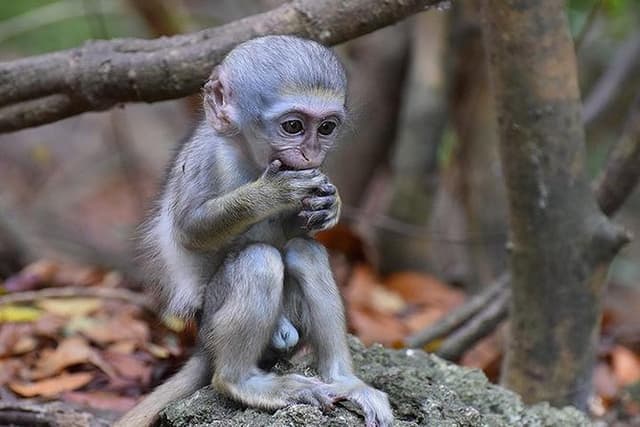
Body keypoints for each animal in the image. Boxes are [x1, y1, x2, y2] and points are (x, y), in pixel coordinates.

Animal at [116, 36, 393, 427]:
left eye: (326, 128)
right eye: (293, 127)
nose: (310, 153)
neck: (249, 157)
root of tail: (203, 343)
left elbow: (300, 228)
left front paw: (330, 204)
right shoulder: (207, 159)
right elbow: (189, 230)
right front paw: (270, 193)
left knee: (305, 252)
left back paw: (344, 381)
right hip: (214, 318)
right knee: (258, 260)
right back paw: (240, 381)